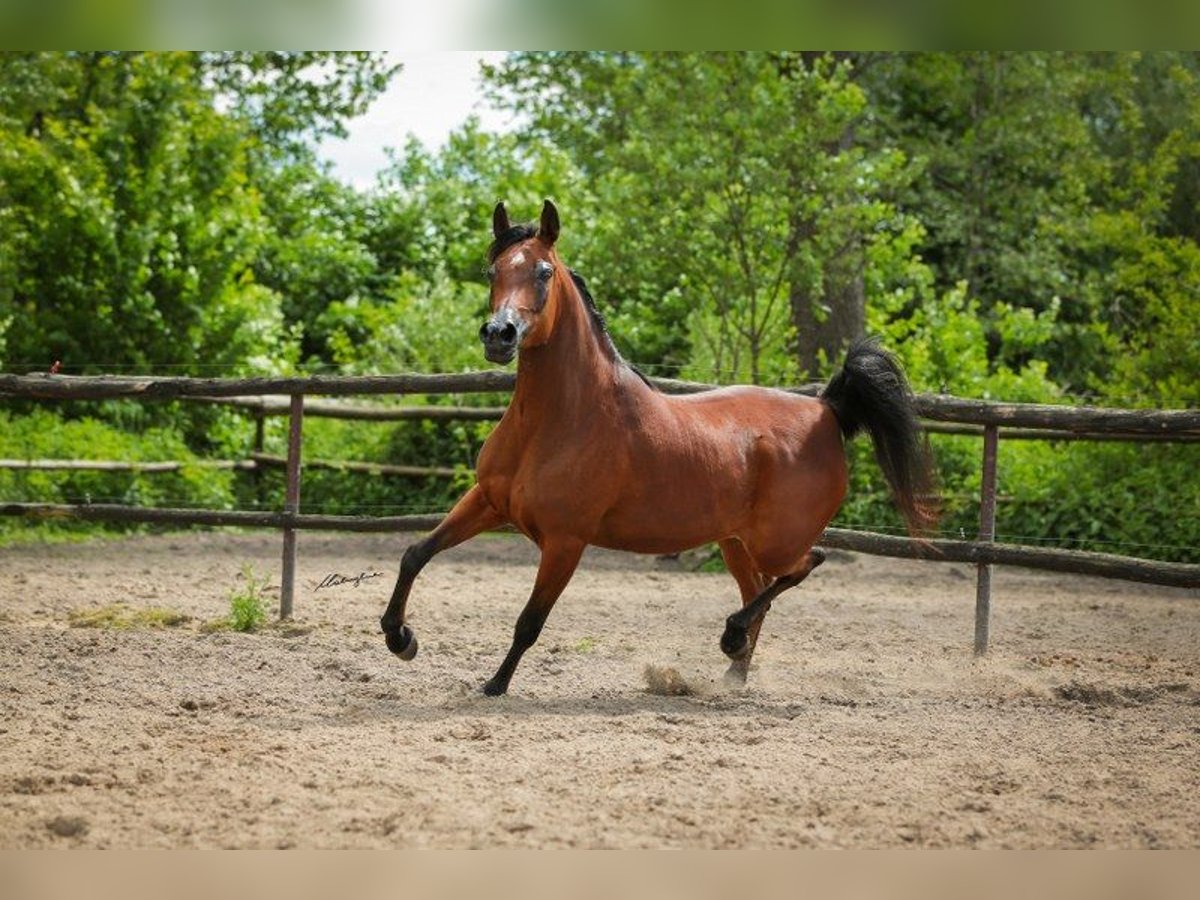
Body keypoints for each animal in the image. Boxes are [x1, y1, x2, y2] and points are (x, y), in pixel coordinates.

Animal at [376, 202, 936, 696]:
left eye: (543, 272)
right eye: (492, 269)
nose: (499, 334)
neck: (559, 420)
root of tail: (826, 408)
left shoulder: (565, 540)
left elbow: (530, 621)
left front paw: (495, 684)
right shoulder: (489, 502)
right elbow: (414, 554)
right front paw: (401, 639)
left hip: (775, 541)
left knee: (804, 565)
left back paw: (730, 639)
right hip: (735, 542)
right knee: (760, 591)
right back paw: (733, 672)